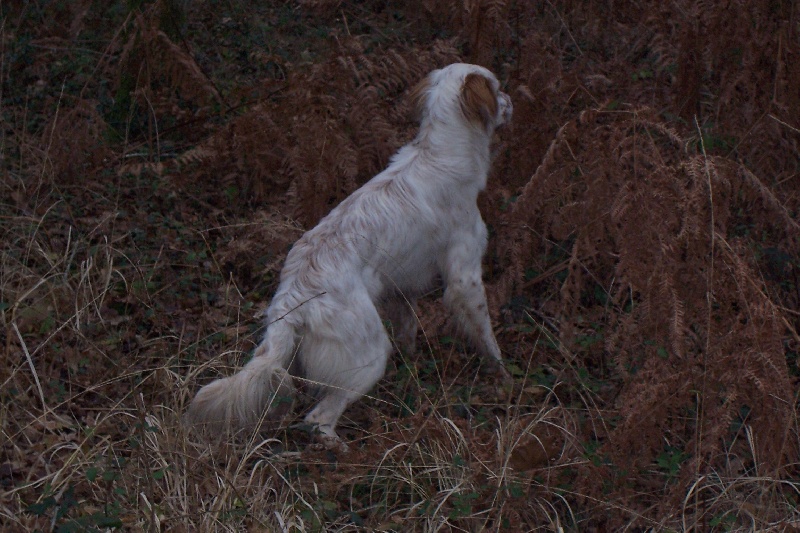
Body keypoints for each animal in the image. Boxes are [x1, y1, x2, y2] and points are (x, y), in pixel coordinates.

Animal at [186, 62, 512, 444]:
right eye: (497, 88)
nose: (511, 101)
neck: (438, 155)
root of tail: (292, 297)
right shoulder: (465, 277)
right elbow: (486, 335)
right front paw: (503, 372)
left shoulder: (402, 287)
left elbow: (409, 332)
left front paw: (411, 367)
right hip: (369, 354)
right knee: (319, 418)